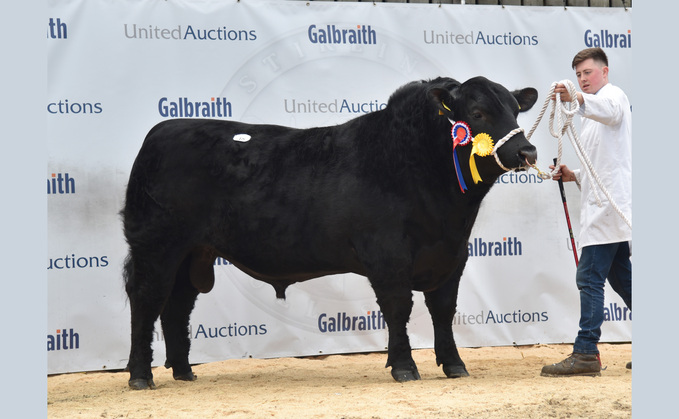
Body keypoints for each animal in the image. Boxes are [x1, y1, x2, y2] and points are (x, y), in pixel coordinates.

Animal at [121, 76, 536, 390]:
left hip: (193, 252)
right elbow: (399, 308)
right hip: (155, 246)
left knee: (176, 306)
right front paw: (404, 366)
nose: (527, 151)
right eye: (478, 113)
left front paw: (454, 365)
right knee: (146, 301)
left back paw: (184, 372)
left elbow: (443, 311)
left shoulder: (452, 254)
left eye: (515, 111)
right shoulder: (387, 254)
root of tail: (164, 129)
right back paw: (141, 376)